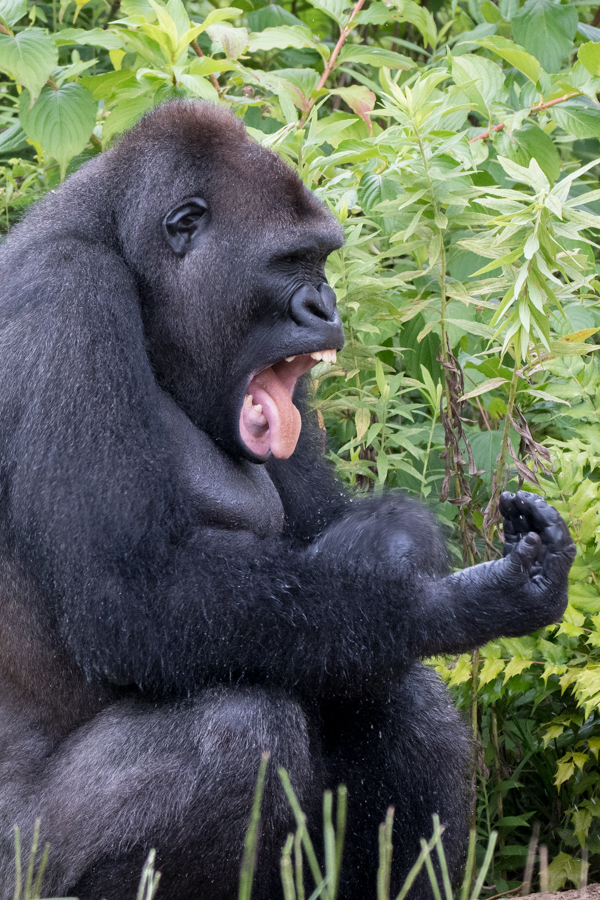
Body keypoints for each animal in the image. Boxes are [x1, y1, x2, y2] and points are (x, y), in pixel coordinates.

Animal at [0, 100, 576, 900]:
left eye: (322, 260)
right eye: (288, 263)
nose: (324, 304)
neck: (123, 252)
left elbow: (325, 548)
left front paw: (395, 544)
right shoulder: (65, 300)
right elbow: (127, 597)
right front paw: (456, 604)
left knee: (384, 681)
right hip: (17, 862)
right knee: (239, 731)